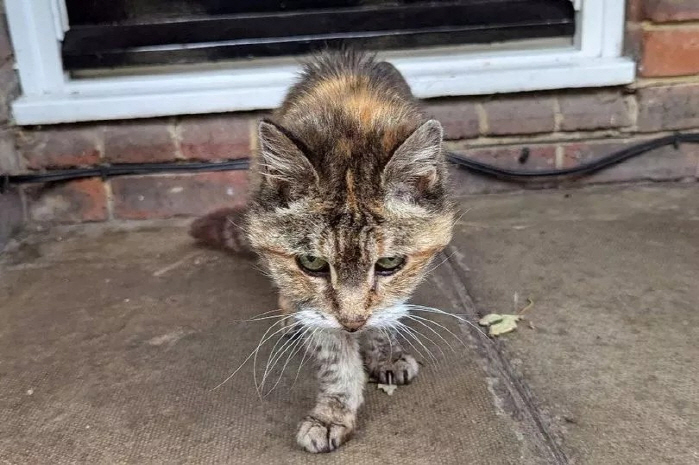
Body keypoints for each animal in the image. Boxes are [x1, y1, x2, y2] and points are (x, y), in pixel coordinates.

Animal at [191, 49, 454, 452]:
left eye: (389, 263)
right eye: (311, 263)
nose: (352, 323)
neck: (351, 117)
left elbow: (386, 313)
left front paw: (385, 352)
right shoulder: (314, 302)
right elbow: (334, 357)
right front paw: (332, 413)